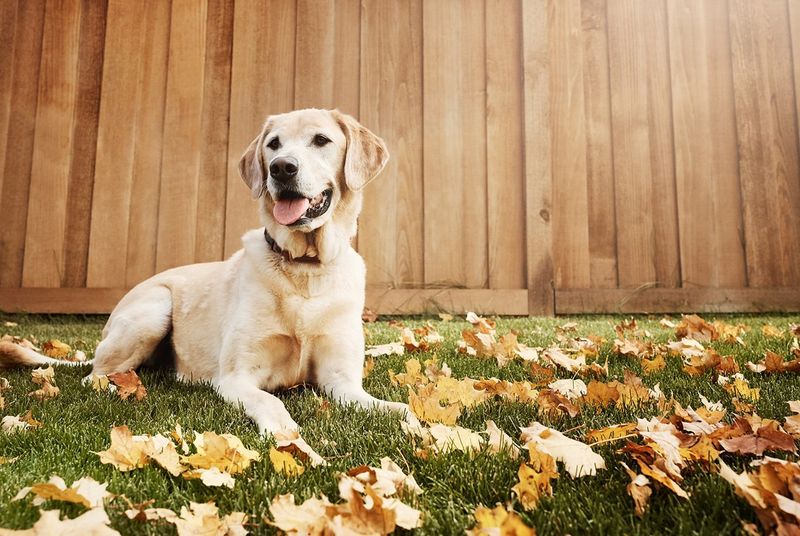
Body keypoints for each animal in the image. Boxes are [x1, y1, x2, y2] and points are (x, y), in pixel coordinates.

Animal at [1, 108, 418, 436]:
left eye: (321, 140)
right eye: (274, 144)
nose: (282, 168)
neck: (304, 268)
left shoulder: (342, 382)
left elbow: (397, 408)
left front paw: (426, 429)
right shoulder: (237, 377)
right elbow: (272, 403)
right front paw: (286, 435)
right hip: (154, 309)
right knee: (95, 376)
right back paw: (122, 385)